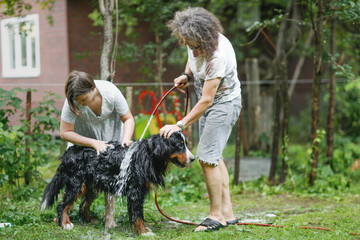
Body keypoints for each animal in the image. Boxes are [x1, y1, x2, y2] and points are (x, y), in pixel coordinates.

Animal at [41, 131, 195, 234]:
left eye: (185, 144)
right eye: (180, 145)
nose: (193, 159)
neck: (148, 155)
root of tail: (69, 152)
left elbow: (135, 214)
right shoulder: (135, 190)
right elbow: (138, 215)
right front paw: (143, 232)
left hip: (92, 186)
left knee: (83, 205)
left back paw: (90, 220)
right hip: (76, 184)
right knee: (62, 205)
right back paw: (65, 223)